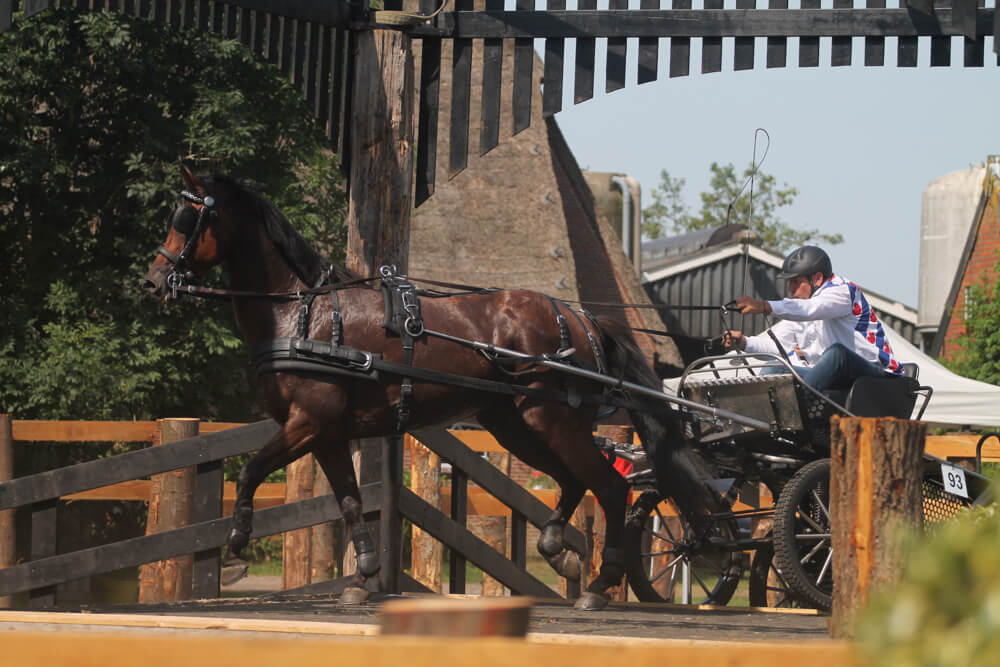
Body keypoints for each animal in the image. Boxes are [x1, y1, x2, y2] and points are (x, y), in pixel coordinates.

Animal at [143, 167, 720, 612]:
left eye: (188, 220)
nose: (152, 283)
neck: (302, 312)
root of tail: (581, 317)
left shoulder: (306, 423)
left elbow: (250, 472)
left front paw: (236, 548)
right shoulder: (325, 433)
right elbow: (349, 501)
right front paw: (362, 577)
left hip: (549, 418)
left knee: (610, 487)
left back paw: (599, 586)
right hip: (514, 424)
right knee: (573, 480)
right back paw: (557, 547)